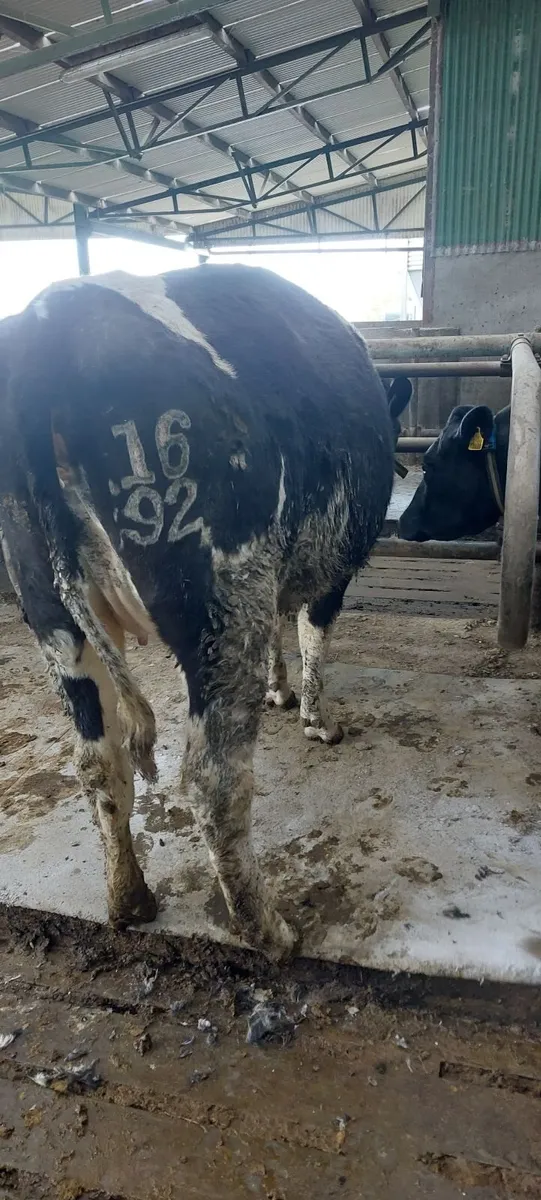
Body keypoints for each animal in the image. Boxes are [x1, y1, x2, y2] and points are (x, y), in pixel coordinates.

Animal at [0, 265, 411, 958]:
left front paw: (279, 691)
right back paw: (268, 930)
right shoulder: (330, 572)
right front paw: (315, 718)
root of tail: (48, 320)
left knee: (98, 763)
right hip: (221, 602)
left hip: (51, 615)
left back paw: (129, 899)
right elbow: (313, 636)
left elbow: (282, 633)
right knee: (212, 780)